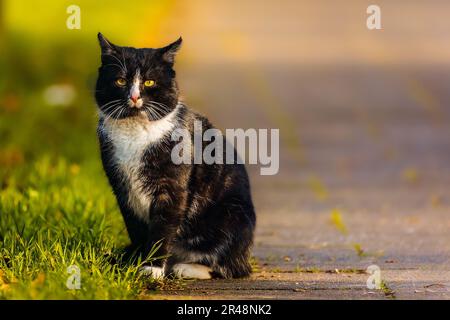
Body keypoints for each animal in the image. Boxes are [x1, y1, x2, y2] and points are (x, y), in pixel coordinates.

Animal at [94, 31, 256, 278]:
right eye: (120, 80)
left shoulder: (172, 188)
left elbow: (162, 229)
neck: (135, 131)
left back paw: (185, 267)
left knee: (229, 265)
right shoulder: (122, 189)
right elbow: (136, 229)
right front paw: (135, 262)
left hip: (235, 215)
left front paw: (152, 267)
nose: (134, 97)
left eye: (149, 81)